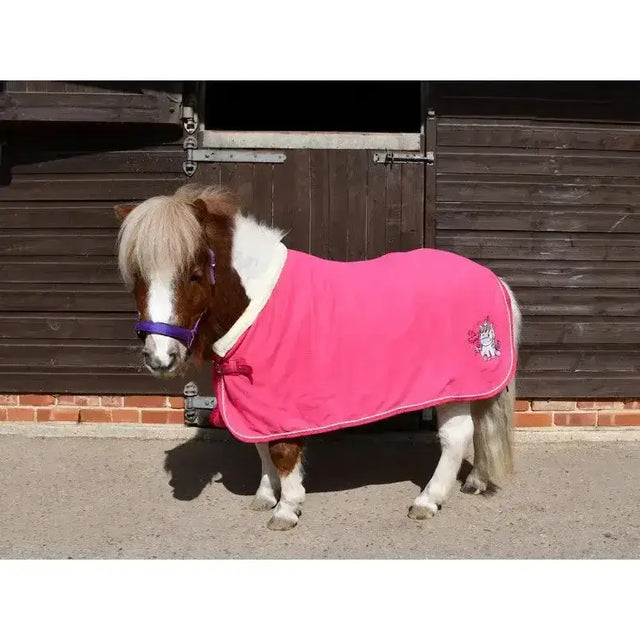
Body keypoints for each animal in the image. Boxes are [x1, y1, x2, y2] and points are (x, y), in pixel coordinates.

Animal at [115, 184, 522, 531]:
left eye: (195, 274)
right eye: (137, 276)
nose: (160, 356)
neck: (258, 301)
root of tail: (493, 279)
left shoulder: (281, 398)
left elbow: (281, 450)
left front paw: (286, 508)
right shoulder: (255, 400)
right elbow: (260, 446)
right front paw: (265, 496)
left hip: (453, 386)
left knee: (456, 436)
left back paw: (428, 500)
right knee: (480, 425)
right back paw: (475, 480)